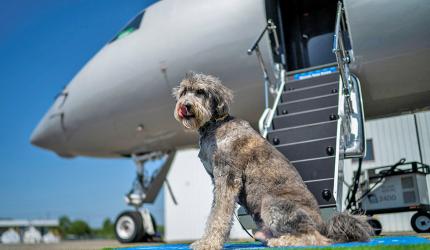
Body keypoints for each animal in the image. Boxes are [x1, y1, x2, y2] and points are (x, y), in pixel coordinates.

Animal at [173, 72, 372, 250]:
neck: (215, 125)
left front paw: (209, 243)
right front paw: (206, 241)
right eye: (184, 92)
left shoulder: (227, 177)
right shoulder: (217, 180)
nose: (186, 106)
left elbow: (219, 214)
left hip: (272, 203)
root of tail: (324, 224)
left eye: (200, 91)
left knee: (314, 238)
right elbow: (216, 211)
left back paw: (281, 242)